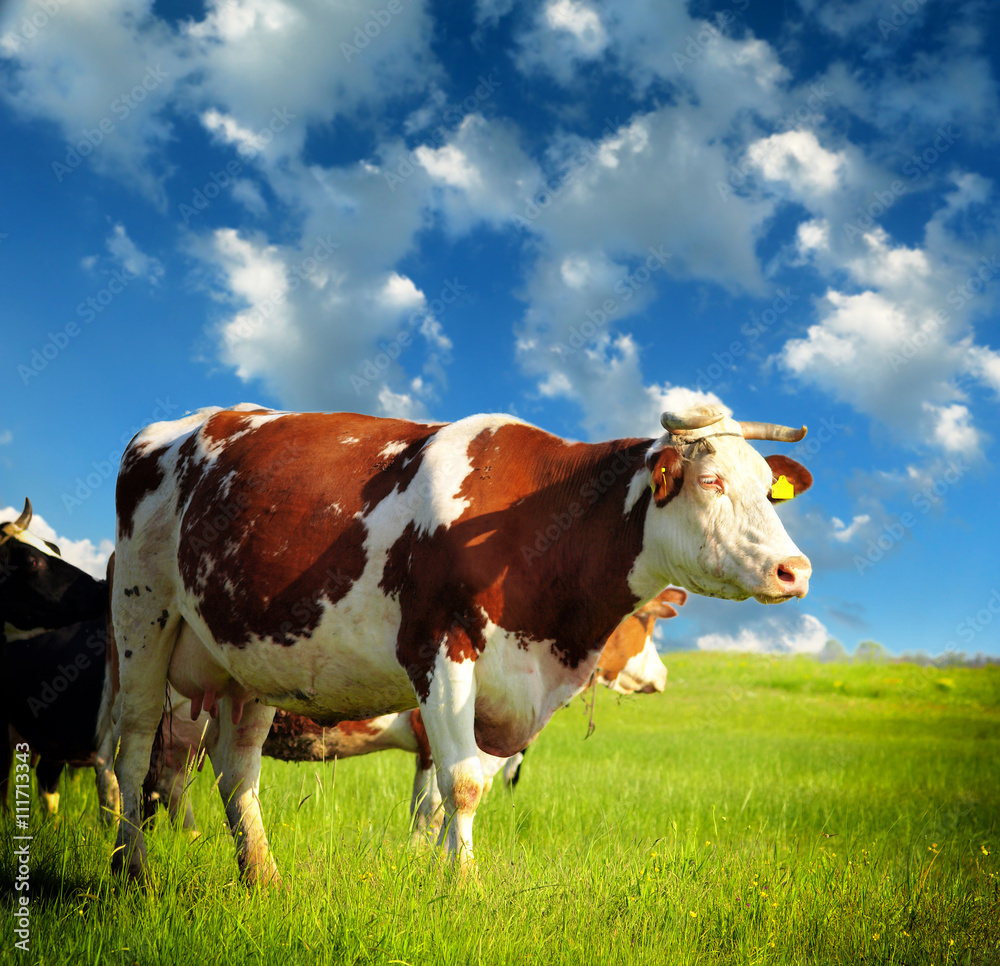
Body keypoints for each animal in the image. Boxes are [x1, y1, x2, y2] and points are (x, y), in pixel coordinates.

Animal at [111, 400, 812, 884]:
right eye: (711, 482)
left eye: (766, 489)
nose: (795, 569)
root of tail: (177, 427)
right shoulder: (438, 651)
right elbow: (461, 785)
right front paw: (462, 887)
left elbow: (447, 797)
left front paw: (439, 876)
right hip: (142, 622)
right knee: (136, 752)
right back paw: (132, 871)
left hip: (250, 658)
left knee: (236, 775)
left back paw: (264, 880)